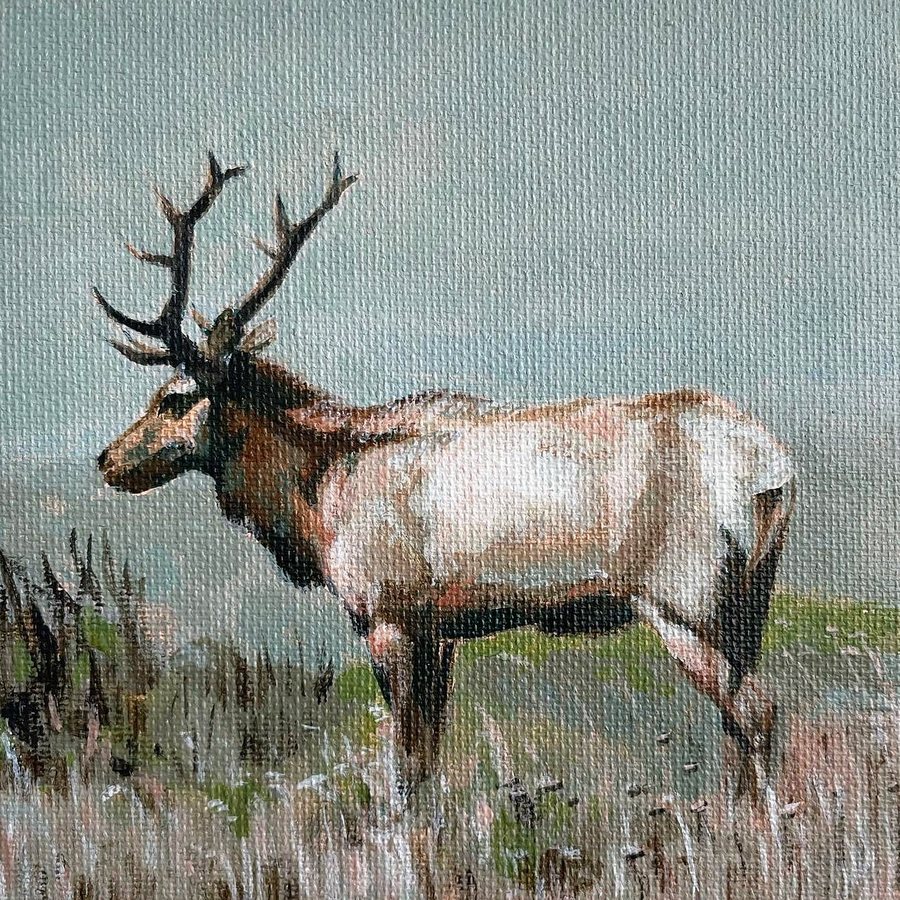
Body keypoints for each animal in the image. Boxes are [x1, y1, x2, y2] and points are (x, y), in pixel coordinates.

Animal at [95, 152, 796, 809]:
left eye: (174, 398)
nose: (107, 459)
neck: (317, 500)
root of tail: (776, 473)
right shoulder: (440, 629)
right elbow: (429, 758)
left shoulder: (388, 612)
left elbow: (406, 767)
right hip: (746, 605)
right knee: (737, 727)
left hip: (683, 600)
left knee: (758, 713)